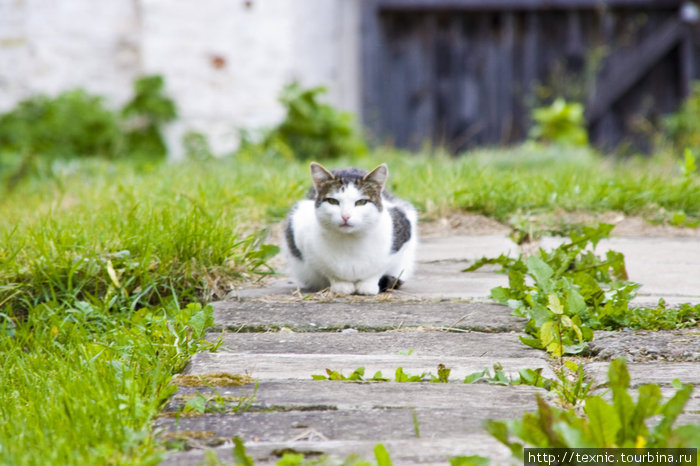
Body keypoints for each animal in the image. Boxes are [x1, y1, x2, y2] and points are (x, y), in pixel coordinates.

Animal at [284, 161, 416, 294]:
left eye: (361, 202)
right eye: (332, 201)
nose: (345, 216)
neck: (350, 241)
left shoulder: (403, 230)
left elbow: (379, 269)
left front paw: (368, 285)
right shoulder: (300, 235)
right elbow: (327, 270)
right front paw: (341, 285)